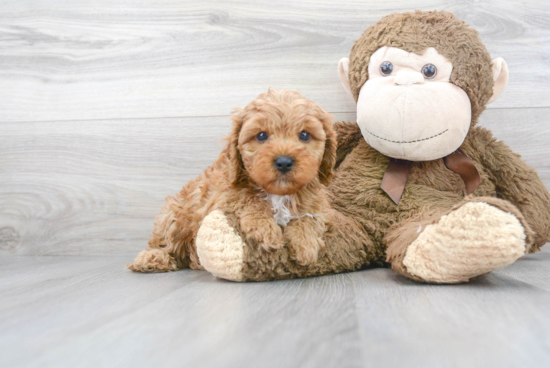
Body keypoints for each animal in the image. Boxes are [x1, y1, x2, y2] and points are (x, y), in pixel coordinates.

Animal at [128, 90, 336, 274]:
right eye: (261, 135)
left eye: (305, 135)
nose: (284, 162)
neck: (277, 194)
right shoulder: (220, 197)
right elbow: (247, 199)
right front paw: (266, 230)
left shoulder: (319, 205)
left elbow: (310, 217)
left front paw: (305, 244)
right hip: (175, 216)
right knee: (164, 242)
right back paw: (152, 258)